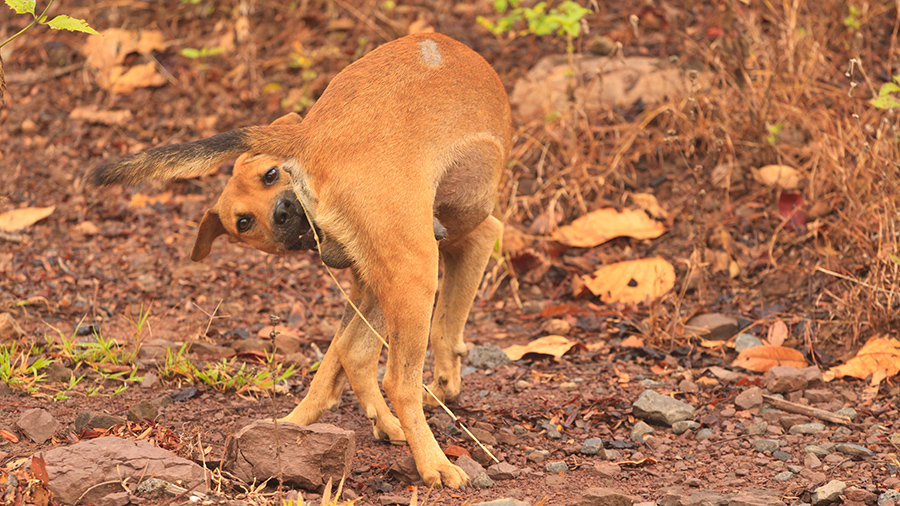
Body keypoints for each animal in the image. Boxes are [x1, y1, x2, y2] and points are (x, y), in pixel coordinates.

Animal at [91, 32, 512, 486]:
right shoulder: (476, 240)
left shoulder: (367, 280)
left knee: (355, 354)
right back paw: (435, 464)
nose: (281, 213)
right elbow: (447, 326)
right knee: (398, 381)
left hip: (393, 280)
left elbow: (337, 358)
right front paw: (447, 381)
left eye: (271, 175)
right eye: (243, 221)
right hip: (415, 273)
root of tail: (311, 135)